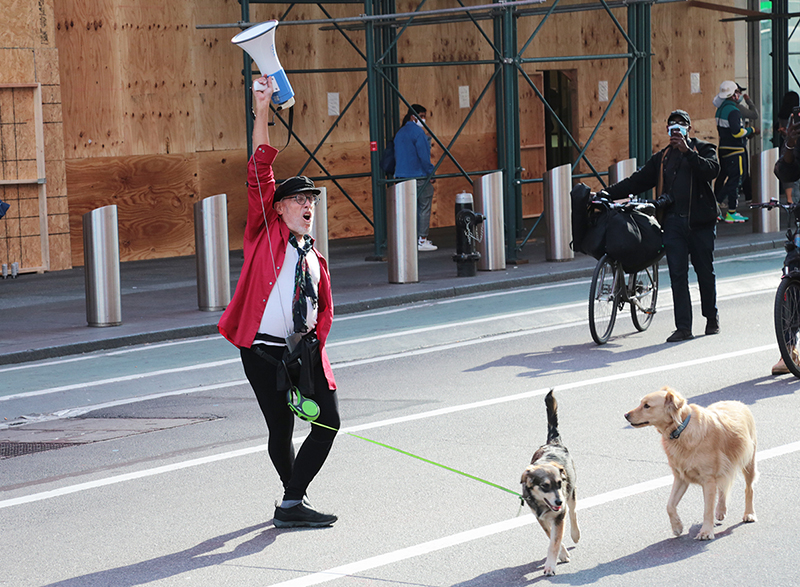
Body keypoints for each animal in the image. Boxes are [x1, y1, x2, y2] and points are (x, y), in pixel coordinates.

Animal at [520, 392, 580, 576]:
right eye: (545, 486)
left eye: (559, 483)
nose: (559, 501)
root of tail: (553, 443)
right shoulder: (541, 517)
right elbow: (552, 537)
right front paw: (562, 553)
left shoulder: (559, 515)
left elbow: (554, 542)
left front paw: (551, 565)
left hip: (571, 494)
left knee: (573, 512)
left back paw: (575, 534)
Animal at [624, 388, 756, 540]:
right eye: (641, 403)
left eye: (647, 406)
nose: (625, 415)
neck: (681, 429)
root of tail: (738, 402)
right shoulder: (681, 477)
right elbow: (669, 505)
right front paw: (677, 527)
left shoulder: (708, 480)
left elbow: (707, 509)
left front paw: (706, 531)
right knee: (723, 488)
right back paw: (721, 510)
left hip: (749, 463)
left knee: (749, 489)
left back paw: (749, 514)